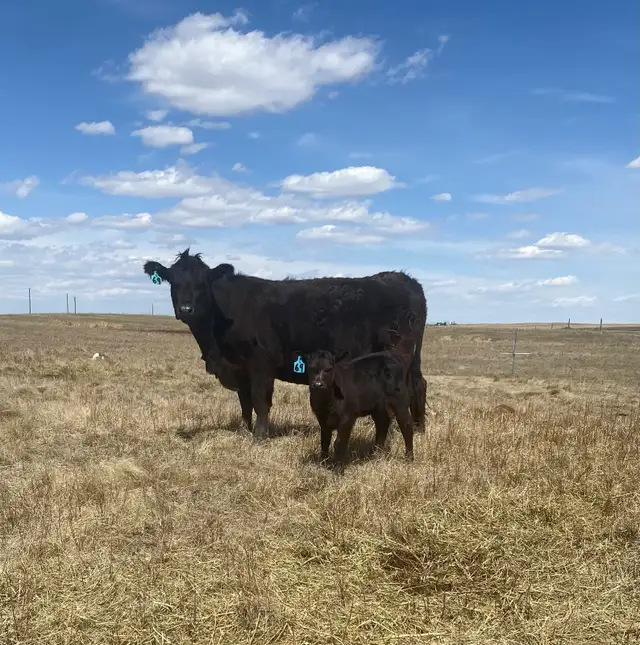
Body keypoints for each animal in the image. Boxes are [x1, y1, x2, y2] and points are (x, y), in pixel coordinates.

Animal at [142, 249, 427, 440]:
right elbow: (244, 403)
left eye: (203, 283)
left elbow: (260, 400)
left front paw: (260, 436)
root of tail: (405, 279)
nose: (186, 309)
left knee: (405, 391)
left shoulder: (260, 361)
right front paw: (244, 431)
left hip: (396, 355)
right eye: (173, 282)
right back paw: (419, 429)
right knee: (418, 385)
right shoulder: (239, 368)